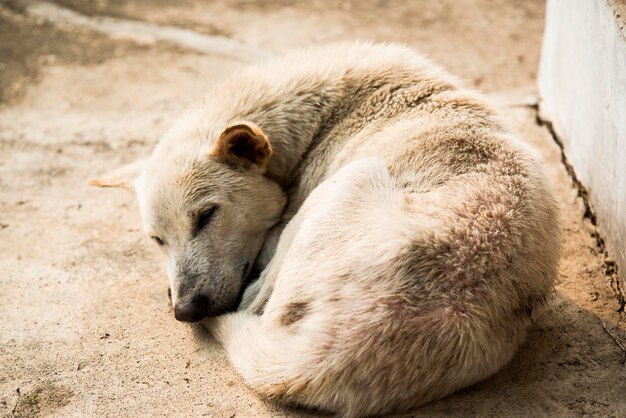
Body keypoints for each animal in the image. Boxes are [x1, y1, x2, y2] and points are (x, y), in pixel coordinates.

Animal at [90, 41, 560, 414]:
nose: (185, 311)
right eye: (157, 240)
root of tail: (337, 349)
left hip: (345, 183)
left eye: (207, 215)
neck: (322, 115)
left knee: (256, 300)